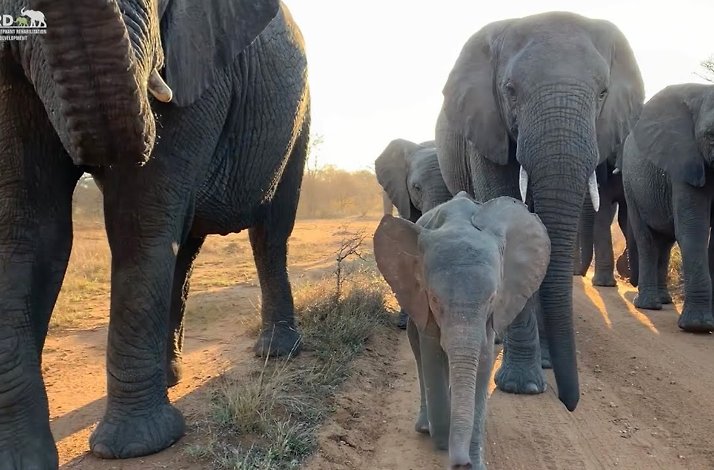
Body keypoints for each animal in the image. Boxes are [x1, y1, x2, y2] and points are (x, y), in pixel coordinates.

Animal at [0, 0, 309, 466]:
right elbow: (27, 228)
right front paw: (21, 460)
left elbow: (140, 216)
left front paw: (134, 448)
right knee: (185, 246)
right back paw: (169, 378)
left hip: (298, 123)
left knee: (269, 232)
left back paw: (276, 352)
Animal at [374, 193, 550, 470]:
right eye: (435, 300)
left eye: (492, 299)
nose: (461, 463)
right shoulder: (422, 300)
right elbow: (432, 353)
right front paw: (443, 439)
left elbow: (484, 360)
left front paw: (474, 462)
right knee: (417, 348)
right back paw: (426, 426)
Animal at [435, 11, 644, 410]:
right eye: (510, 90)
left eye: (603, 93)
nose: (570, 403)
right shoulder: (488, 130)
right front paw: (522, 386)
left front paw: (541, 370)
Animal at [623, 83, 714, 332]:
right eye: (711, 136)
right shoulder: (684, 162)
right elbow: (693, 231)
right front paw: (698, 326)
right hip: (630, 184)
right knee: (647, 240)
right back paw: (648, 305)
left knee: (665, 242)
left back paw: (664, 300)